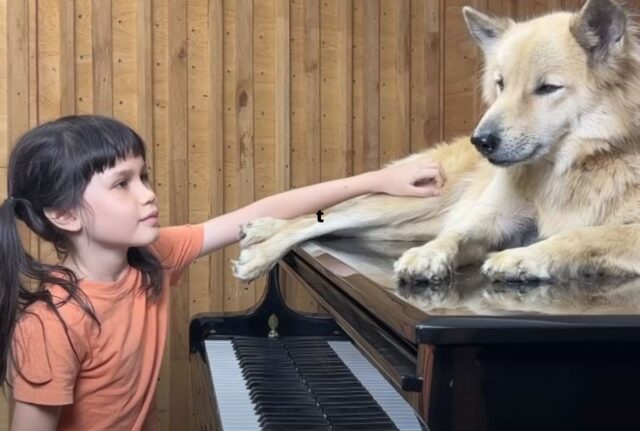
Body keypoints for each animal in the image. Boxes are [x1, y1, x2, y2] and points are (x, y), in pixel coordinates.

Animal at [230, 0, 640, 286]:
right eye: (501, 84)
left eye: (547, 88)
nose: (481, 142)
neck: (575, 166)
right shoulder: (492, 220)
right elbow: (459, 233)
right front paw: (429, 256)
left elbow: (584, 234)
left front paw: (521, 258)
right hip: (413, 203)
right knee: (328, 215)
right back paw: (263, 242)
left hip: (409, 220)